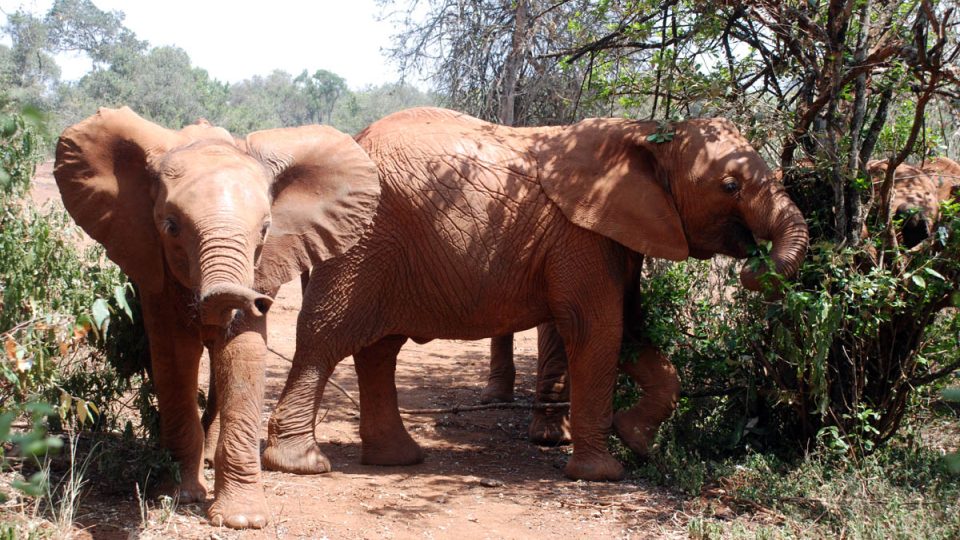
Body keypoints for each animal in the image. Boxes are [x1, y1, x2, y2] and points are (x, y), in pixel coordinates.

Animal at [53, 106, 378, 528]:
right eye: (171, 227)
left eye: (265, 229)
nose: (260, 302)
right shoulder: (154, 267)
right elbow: (175, 356)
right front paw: (177, 496)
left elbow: (242, 353)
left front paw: (242, 520)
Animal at [258, 105, 808, 480]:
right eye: (730, 186)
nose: (754, 268)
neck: (650, 133)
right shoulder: (583, 235)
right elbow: (599, 329)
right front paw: (603, 473)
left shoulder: (617, 235)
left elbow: (631, 329)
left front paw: (636, 441)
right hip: (363, 244)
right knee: (327, 337)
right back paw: (301, 464)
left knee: (379, 350)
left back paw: (399, 459)